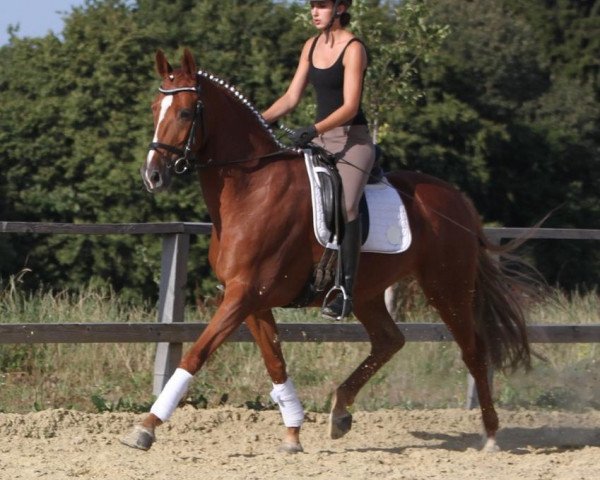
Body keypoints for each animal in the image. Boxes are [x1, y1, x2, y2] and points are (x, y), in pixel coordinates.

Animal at [120, 48, 528, 454]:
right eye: (155, 108)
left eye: (186, 112)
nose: (152, 176)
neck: (252, 188)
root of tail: (459, 200)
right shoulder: (252, 299)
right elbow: (275, 362)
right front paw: (292, 433)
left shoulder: (243, 294)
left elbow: (196, 353)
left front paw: (146, 427)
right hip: (368, 292)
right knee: (389, 340)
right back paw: (341, 412)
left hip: (447, 287)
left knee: (473, 350)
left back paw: (491, 435)